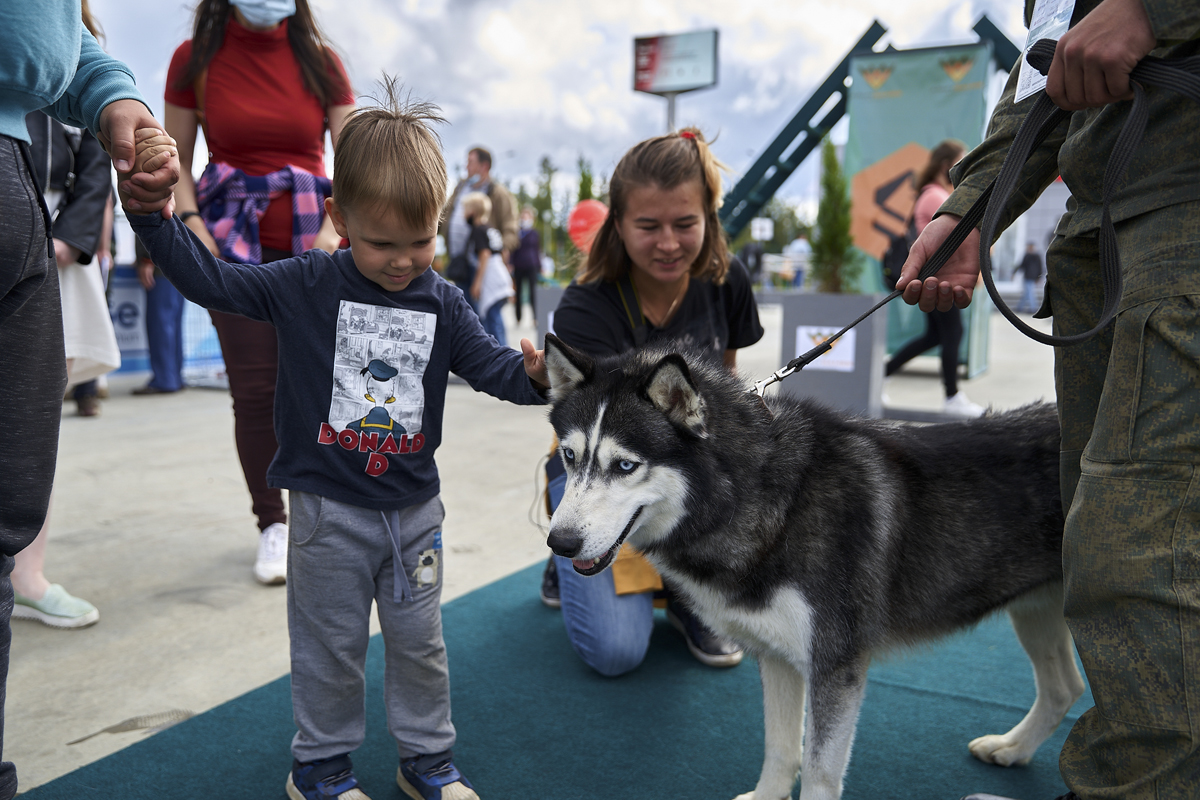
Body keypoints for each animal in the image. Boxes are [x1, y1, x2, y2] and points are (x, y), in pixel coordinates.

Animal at [544, 335, 1089, 800]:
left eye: (625, 466)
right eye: (568, 457)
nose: (559, 543)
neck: (763, 496)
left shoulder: (836, 666)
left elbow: (820, 772)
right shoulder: (778, 657)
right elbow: (780, 750)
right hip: (1034, 612)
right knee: (1064, 688)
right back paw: (1013, 748)